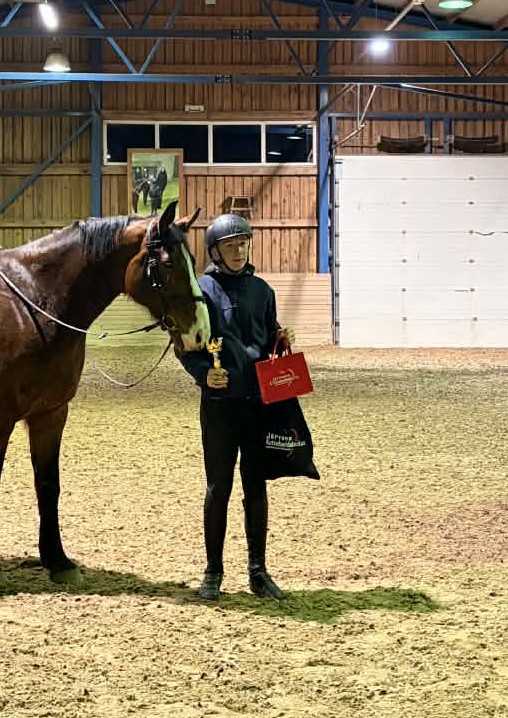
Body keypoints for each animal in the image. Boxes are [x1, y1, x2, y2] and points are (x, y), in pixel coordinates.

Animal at [0, 200, 210, 584]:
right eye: (168, 263)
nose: (200, 333)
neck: (33, 304)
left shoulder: (50, 414)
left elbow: (48, 484)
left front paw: (58, 560)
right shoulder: (1, 419)